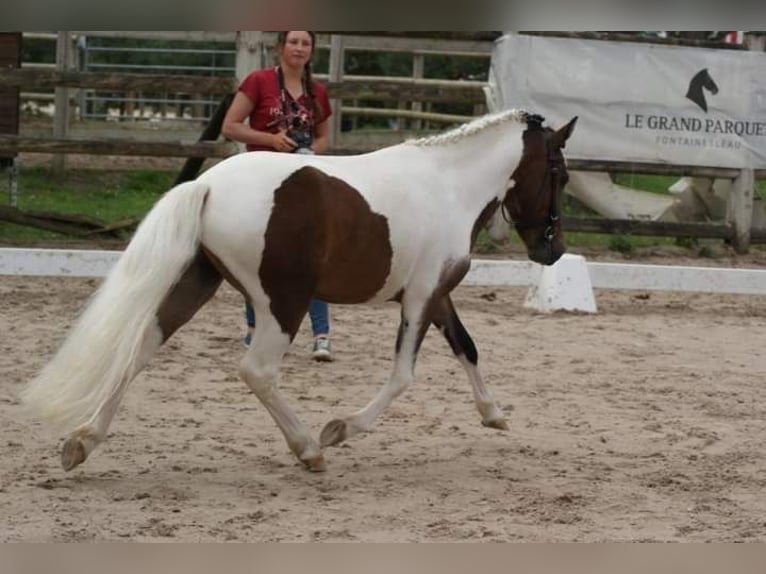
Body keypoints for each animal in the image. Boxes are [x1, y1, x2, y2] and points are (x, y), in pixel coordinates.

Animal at [21, 110, 580, 474]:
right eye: (559, 172)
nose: (553, 250)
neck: (448, 186)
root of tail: (207, 186)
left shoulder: (435, 294)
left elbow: (467, 347)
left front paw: (495, 416)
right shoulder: (421, 297)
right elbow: (403, 375)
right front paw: (340, 429)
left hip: (198, 281)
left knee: (140, 349)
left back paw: (81, 443)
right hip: (281, 303)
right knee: (257, 371)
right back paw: (309, 449)